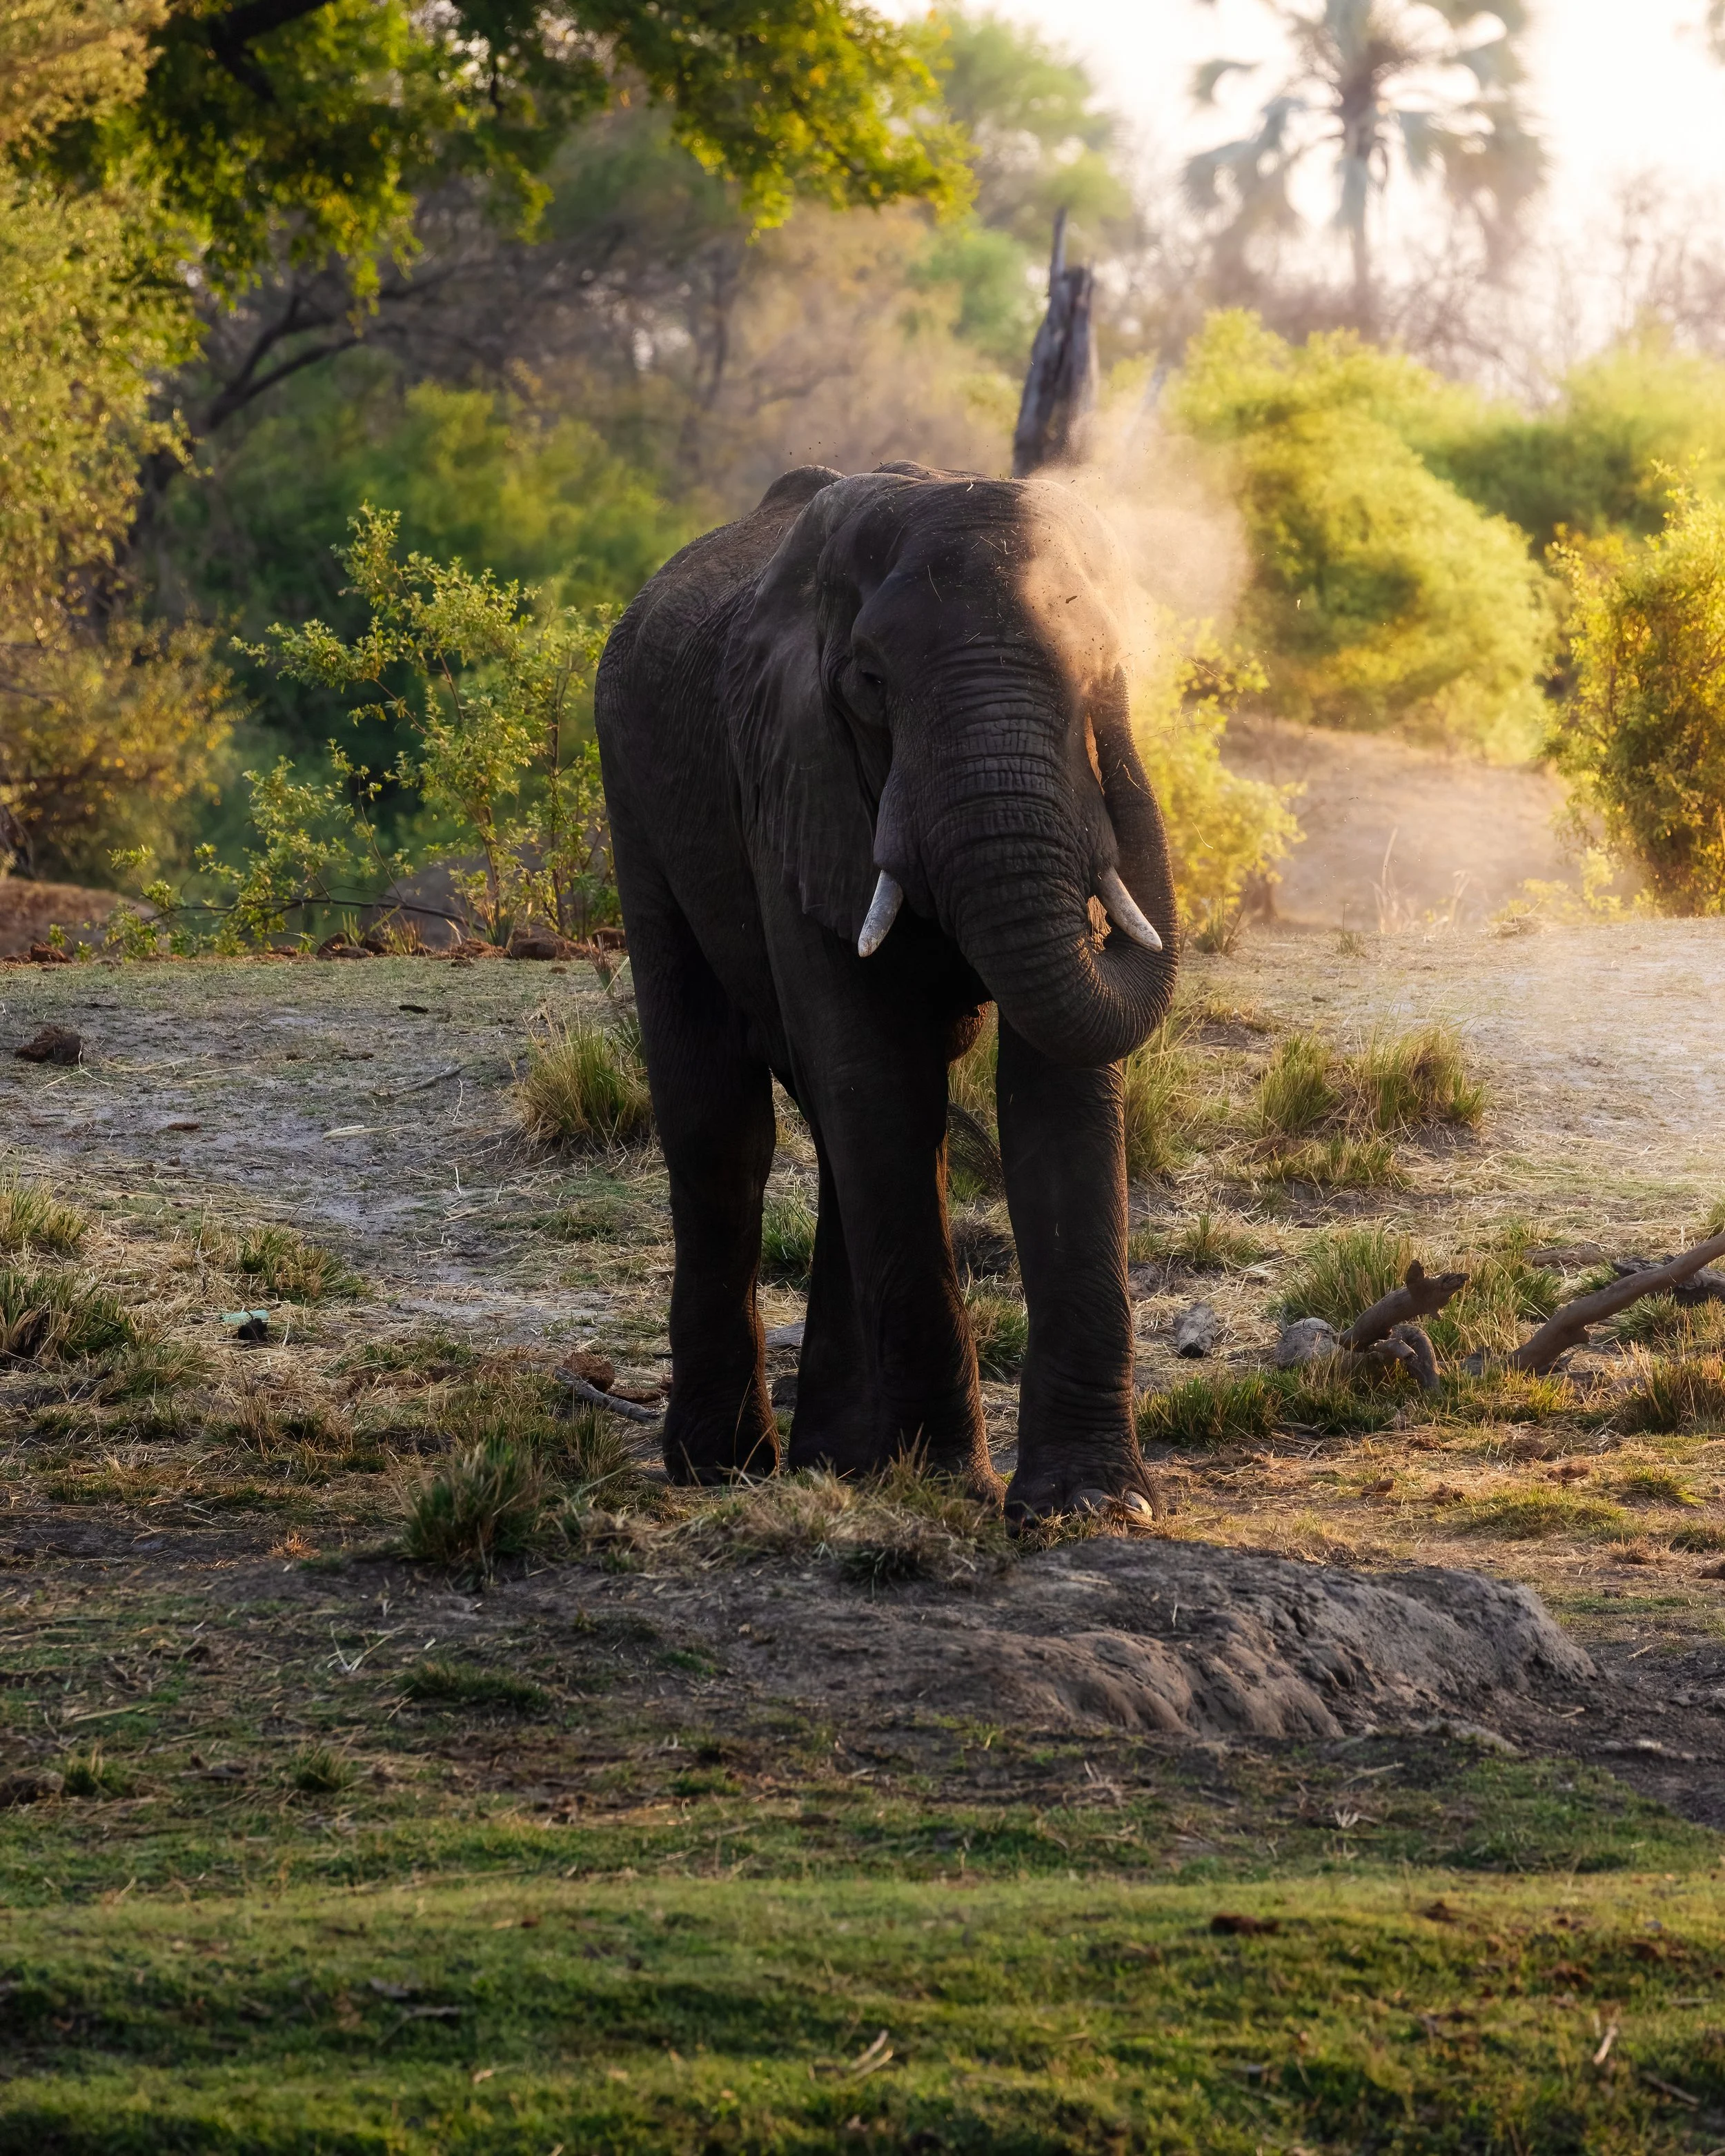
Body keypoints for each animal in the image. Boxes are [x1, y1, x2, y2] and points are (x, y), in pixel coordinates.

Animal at [593, 461, 1179, 1519]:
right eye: (870, 684)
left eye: (1093, 668)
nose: (1117, 690)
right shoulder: (790, 774)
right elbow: (877, 1080)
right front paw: (944, 1487)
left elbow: (1057, 1080)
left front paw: (1091, 1505)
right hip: (633, 786)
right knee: (722, 1124)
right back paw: (724, 1465)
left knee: (835, 1133)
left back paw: (835, 1462)